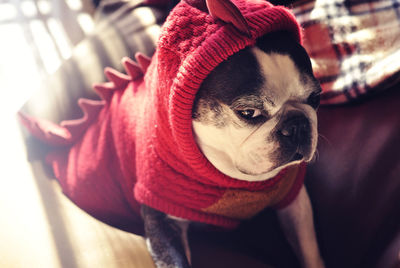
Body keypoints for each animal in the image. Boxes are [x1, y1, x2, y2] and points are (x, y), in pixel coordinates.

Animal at [141, 29, 324, 268]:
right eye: (248, 113)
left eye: (316, 98)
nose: (297, 125)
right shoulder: (161, 217)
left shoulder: (294, 200)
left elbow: (309, 248)